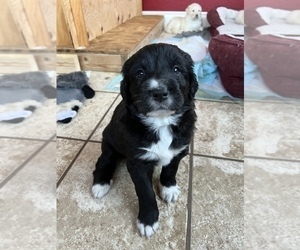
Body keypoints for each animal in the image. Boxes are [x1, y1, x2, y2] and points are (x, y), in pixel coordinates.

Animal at [92, 43, 198, 238]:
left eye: (177, 69)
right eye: (140, 73)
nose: (159, 93)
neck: (161, 122)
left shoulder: (179, 150)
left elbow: (170, 169)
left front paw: (168, 188)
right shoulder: (137, 162)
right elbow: (146, 192)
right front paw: (148, 221)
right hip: (109, 140)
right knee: (104, 161)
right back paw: (100, 184)